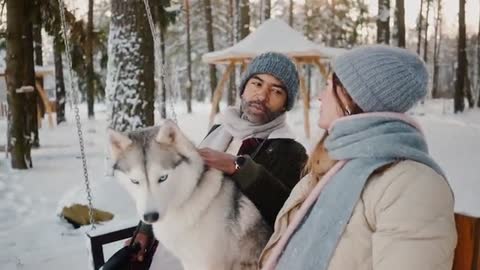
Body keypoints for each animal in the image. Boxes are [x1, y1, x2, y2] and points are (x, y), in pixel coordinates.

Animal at [109, 121, 274, 270]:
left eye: (163, 178)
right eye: (135, 181)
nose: (150, 217)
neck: (188, 200)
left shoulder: (209, 263)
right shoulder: (189, 261)